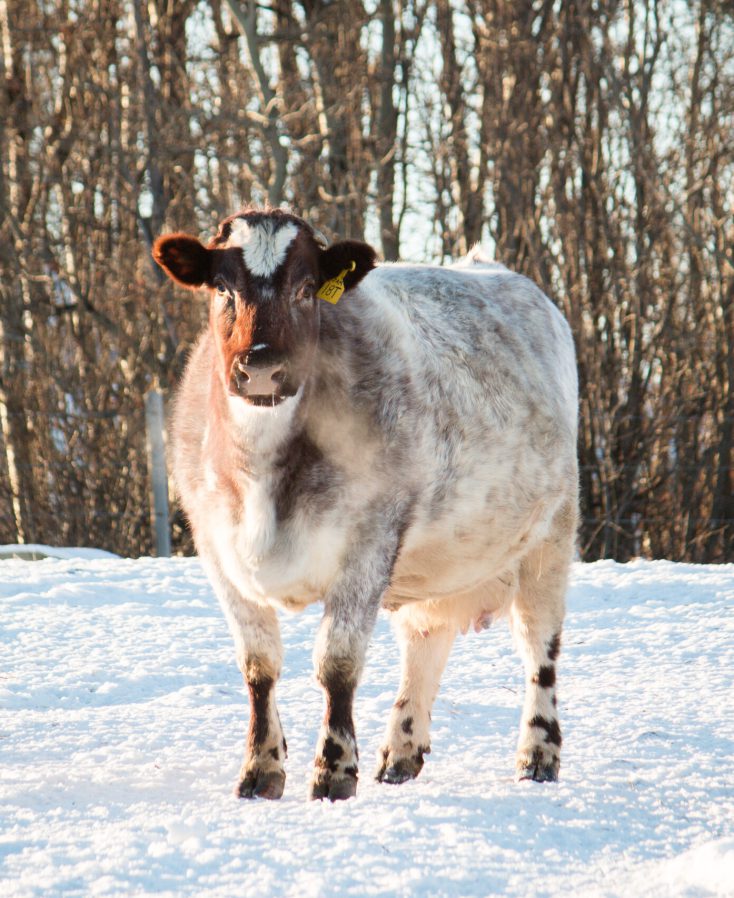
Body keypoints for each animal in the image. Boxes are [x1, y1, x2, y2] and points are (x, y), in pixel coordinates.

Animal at [154, 208, 580, 800]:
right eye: (221, 287)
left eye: (306, 288)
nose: (260, 368)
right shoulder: (217, 549)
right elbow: (258, 666)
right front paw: (260, 769)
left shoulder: (367, 543)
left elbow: (337, 663)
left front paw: (333, 771)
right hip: (438, 562)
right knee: (425, 642)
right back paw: (401, 751)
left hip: (550, 538)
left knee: (540, 650)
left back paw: (538, 754)